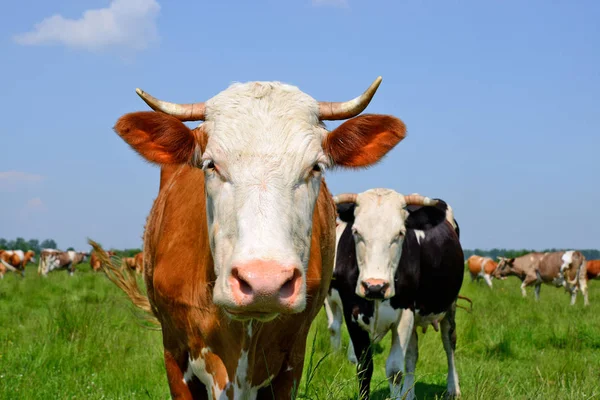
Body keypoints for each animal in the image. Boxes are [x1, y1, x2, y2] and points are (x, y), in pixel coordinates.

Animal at [328, 190, 464, 400]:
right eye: (356, 231)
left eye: (400, 233)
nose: (375, 287)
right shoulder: (351, 313)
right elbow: (364, 367)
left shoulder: (405, 312)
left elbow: (394, 370)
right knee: (412, 355)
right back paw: (409, 394)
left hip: (450, 305)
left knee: (449, 341)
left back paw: (452, 388)